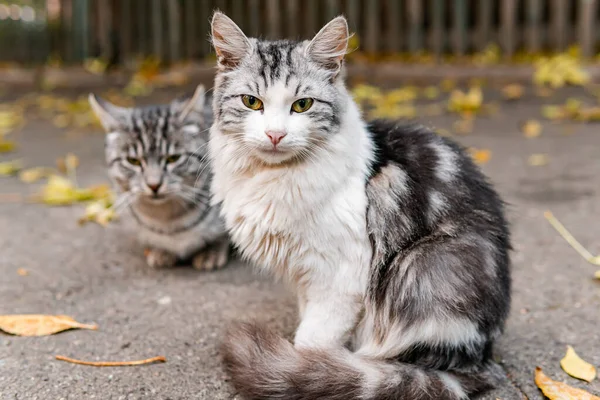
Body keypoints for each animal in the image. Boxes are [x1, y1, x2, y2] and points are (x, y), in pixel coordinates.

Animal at [89, 86, 230, 270]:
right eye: (133, 161)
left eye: (173, 158)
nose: (154, 185)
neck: (167, 221)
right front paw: (161, 250)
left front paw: (211, 250)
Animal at [209, 11, 508, 400]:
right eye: (251, 102)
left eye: (302, 104)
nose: (275, 135)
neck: (274, 178)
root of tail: (480, 359)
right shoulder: (306, 275)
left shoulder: (341, 275)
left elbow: (313, 340)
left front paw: (306, 368)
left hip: (423, 266)